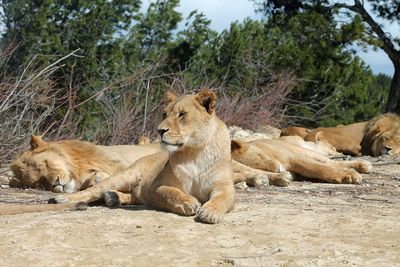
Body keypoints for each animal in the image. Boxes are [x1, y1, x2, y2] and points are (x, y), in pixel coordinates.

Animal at [231, 138, 372, 184]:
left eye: (260, 155)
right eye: (260, 167)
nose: (279, 168)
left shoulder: (293, 158)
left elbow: (319, 167)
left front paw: (349, 175)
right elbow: (319, 170)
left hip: (304, 151)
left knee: (331, 162)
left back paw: (363, 165)